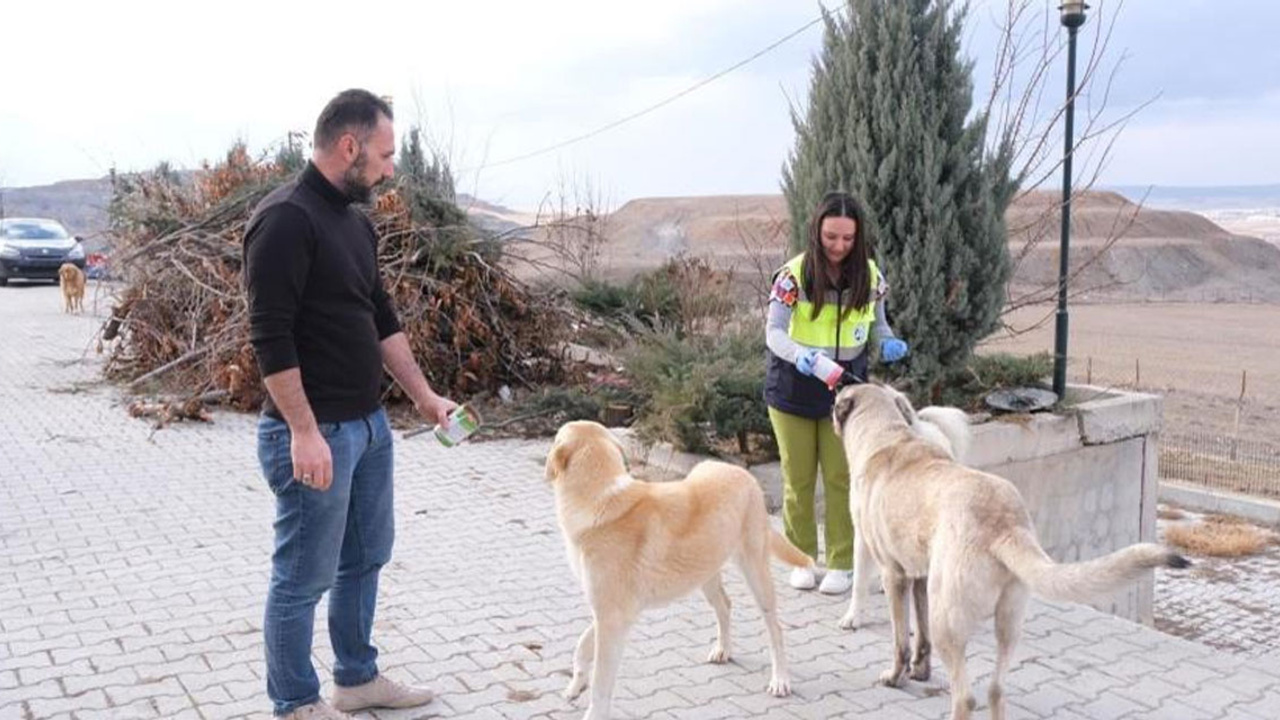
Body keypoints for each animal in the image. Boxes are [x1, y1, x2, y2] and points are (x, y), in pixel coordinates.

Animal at [542, 420, 808, 717]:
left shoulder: (612, 618)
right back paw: (723, 650)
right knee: (725, 606)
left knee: (775, 629)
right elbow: (581, 646)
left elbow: (601, 682)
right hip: (705, 572)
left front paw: (594, 712)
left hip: (755, 573)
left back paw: (780, 680)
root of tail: (742, 473)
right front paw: (575, 686)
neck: (600, 497)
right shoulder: (611, 614)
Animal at [829, 381, 1187, 717]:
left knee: (966, 696)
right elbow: (921, 637)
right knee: (996, 690)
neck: (886, 434)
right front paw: (920, 671)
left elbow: (901, 640)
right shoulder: (920, 577)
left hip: (948, 618)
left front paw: (896, 676)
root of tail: (1004, 525)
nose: (834, 384)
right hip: (1008, 621)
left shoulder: (894, 575)